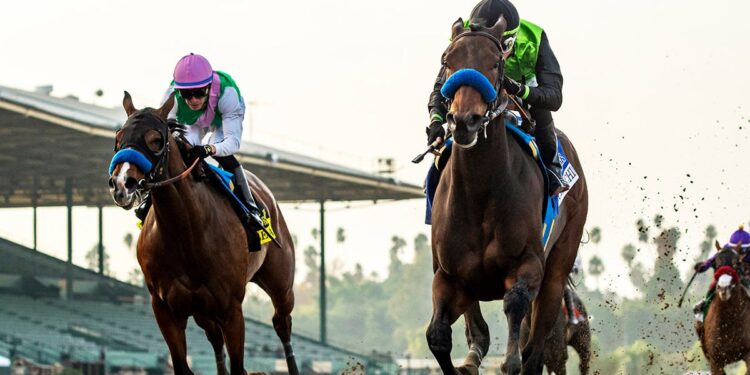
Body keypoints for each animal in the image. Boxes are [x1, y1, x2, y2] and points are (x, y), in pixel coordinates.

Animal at [108, 93, 300, 375]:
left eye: (156, 140)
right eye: (118, 138)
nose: (122, 184)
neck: (186, 233)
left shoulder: (232, 308)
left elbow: (239, 367)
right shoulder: (165, 308)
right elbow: (182, 366)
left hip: (280, 285)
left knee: (282, 324)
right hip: (202, 311)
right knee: (215, 339)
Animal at [426, 17, 592, 375]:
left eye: (494, 63)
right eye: (448, 62)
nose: (465, 120)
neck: (480, 191)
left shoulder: (528, 265)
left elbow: (516, 329)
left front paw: (509, 359)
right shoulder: (448, 277)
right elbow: (438, 337)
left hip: (557, 271)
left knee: (537, 348)